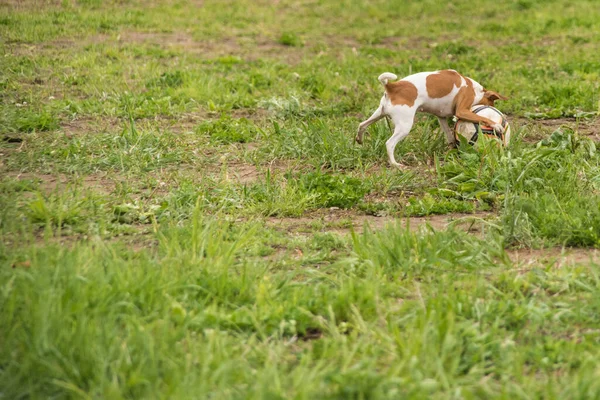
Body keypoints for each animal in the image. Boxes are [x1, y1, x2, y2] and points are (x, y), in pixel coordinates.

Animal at [356, 69, 506, 166]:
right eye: (491, 104)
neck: (475, 89)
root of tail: (392, 86)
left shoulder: (441, 117)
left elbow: (450, 137)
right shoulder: (462, 111)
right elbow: (483, 118)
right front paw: (496, 125)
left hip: (378, 114)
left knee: (362, 125)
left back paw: (359, 139)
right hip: (404, 126)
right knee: (389, 143)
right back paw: (395, 164)